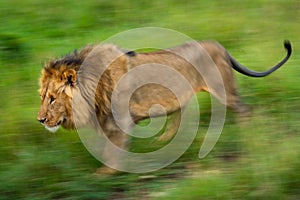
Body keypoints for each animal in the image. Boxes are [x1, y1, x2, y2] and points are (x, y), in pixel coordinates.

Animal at [37, 40, 290, 173]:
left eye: (52, 98)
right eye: (42, 96)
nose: (40, 120)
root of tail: (219, 46)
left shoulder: (119, 121)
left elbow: (112, 150)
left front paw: (105, 174)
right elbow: (105, 146)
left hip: (224, 90)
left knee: (245, 110)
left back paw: (249, 137)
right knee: (178, 117)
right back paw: (162, 142)